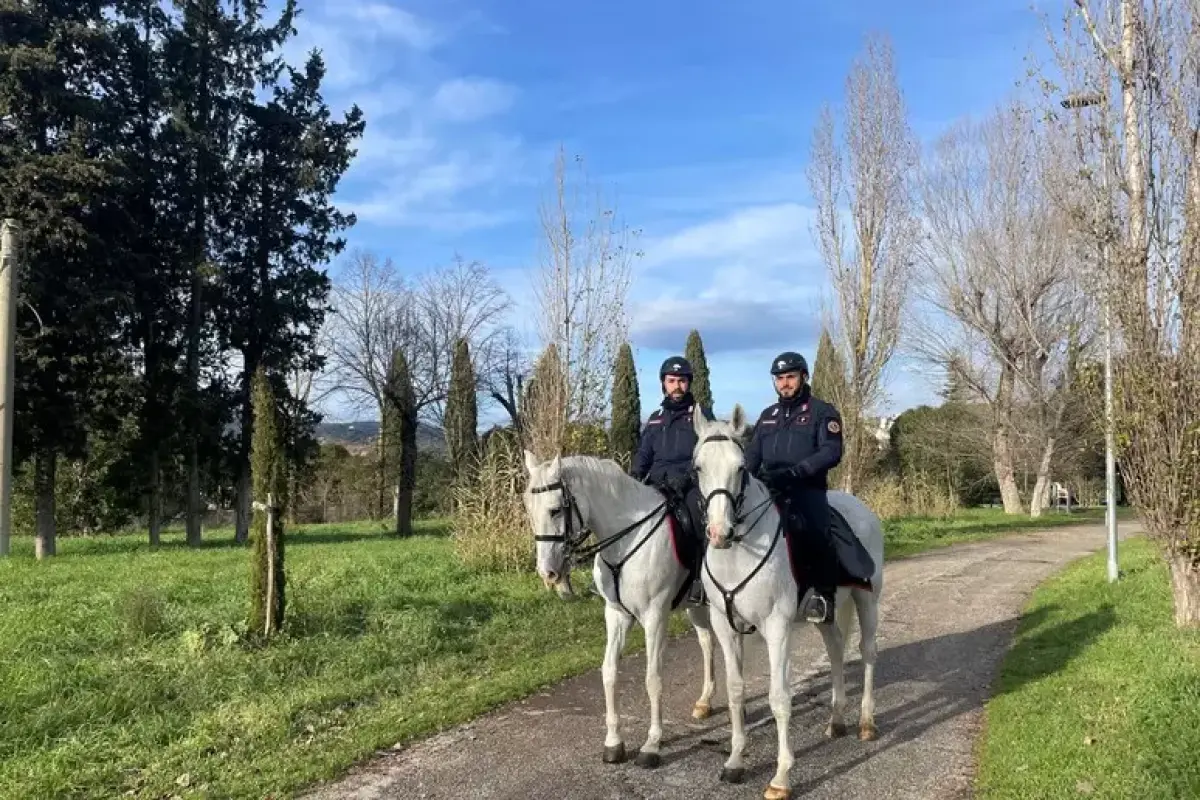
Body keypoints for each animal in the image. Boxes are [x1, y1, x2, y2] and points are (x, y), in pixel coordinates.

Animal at [520, 450, 715, 767]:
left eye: (555, 511)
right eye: (529, 509)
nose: (547, 573)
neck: (626, 540)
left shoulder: (655, 617)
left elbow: (653, 678)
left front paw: (652, 744)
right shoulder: (616, 615)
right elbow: (609, 672)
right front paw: (613, 742)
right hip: (695, 606)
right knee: (708, 642)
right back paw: (705, 702)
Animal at [691, 410, 888, 796]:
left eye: (740, 468)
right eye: (698, 467)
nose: (720, 533)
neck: (739, 552)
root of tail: (861, 509)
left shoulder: (777, 628)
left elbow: (780, 698)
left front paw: (781, 776)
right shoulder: (725, 626)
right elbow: (736, 691)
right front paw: (735, 761)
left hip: (867, 599)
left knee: (868, 652)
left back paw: (866, 722)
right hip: (826, 614)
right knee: (837, 650)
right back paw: (837, 720)